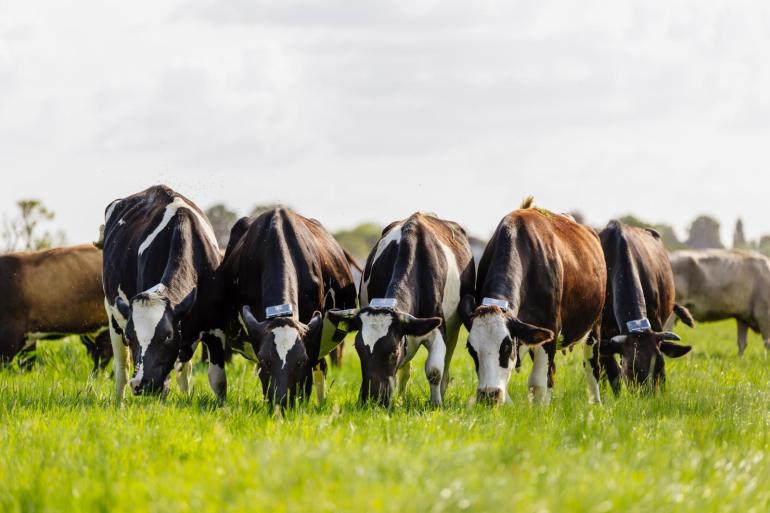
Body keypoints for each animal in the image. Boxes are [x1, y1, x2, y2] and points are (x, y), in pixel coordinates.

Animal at [102, 185, 226, 402]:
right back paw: (119, 401)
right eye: (130, 337)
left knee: (185, 370)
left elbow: (217, 379)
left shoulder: (215, 324)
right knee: (122, 368)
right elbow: (164, 385)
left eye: (167, 336)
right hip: (112, 314)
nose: (140, 383)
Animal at [221, 207, 358, 410]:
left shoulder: (312, 338)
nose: (282, 401)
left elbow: (308, 378)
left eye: (301, 360)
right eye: (264, 359)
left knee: (322, 367)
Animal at [327, 212, 476, 407]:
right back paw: (401, 399)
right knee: (406, 370)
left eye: (394, 351)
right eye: (358, 349)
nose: (372, 398)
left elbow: (435, 370)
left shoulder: (437, 328)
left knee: (446, 362)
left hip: (453, 328)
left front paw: (436, 404)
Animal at [460, 198, 606, 406]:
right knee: (552, 373)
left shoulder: (549, 329)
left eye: (506, 347)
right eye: (472, 350)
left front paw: (538, 411)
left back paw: (596, 403)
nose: (488, 395)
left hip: (594, 326)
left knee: (591, 366)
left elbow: (537, 383)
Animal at [598, 221, 694, 393]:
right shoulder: (603, 333)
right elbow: (613, 374)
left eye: (660, 364)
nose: (648, 396)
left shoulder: (655, 321)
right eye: (631, 368)